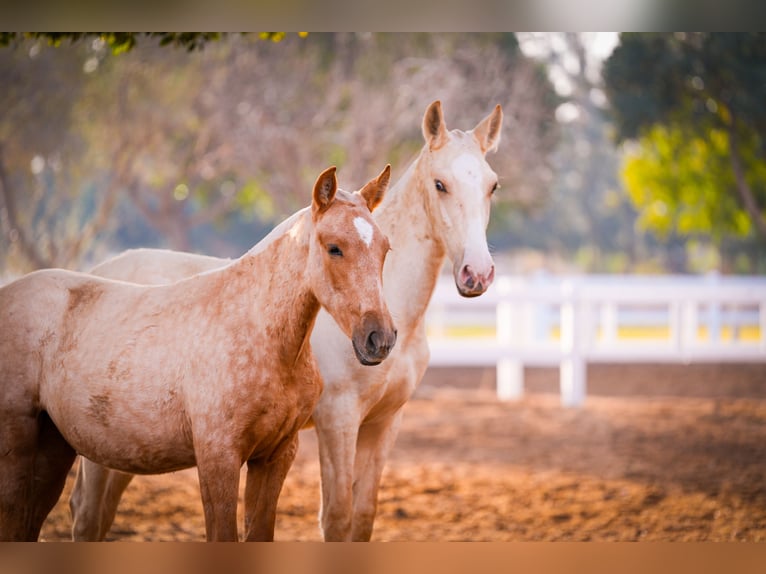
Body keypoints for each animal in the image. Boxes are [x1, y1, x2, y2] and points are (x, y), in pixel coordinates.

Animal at [0, 164, 396, 544]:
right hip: (19, 444)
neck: (258, 331)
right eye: (334, 247)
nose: (380, 338)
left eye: (385, 249)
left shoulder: (275, 456)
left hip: (54, 447)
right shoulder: (218, 458)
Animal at [67, 101, 504, 544]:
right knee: (88, 513)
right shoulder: (337, 419)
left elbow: (363, 516)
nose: (476, 273)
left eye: (492, 186)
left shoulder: (384, 422)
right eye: (440, 184)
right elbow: (337, 517)